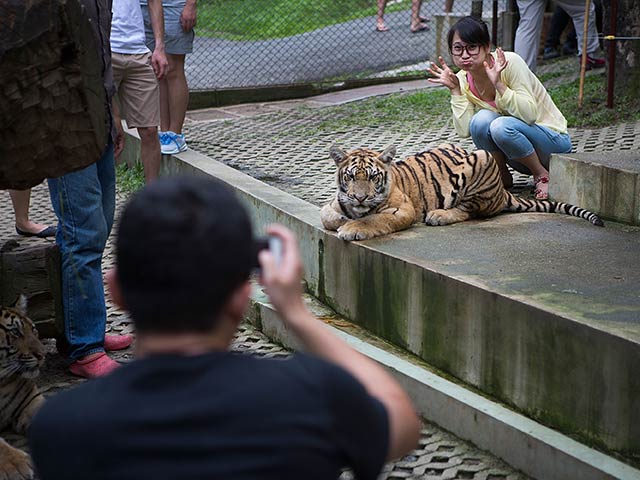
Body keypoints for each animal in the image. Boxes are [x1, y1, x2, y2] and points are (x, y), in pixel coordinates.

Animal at [320, 142, 604, 240]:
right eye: (350, 177)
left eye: (372, 177)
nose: (360, 197)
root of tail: (502, 192)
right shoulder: (333, 204)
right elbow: (327, 215)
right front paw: (344, 219)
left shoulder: (404, 209)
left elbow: (374, 219)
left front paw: (352, 228)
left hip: (482, 158)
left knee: (471, 210)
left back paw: (439, 215)